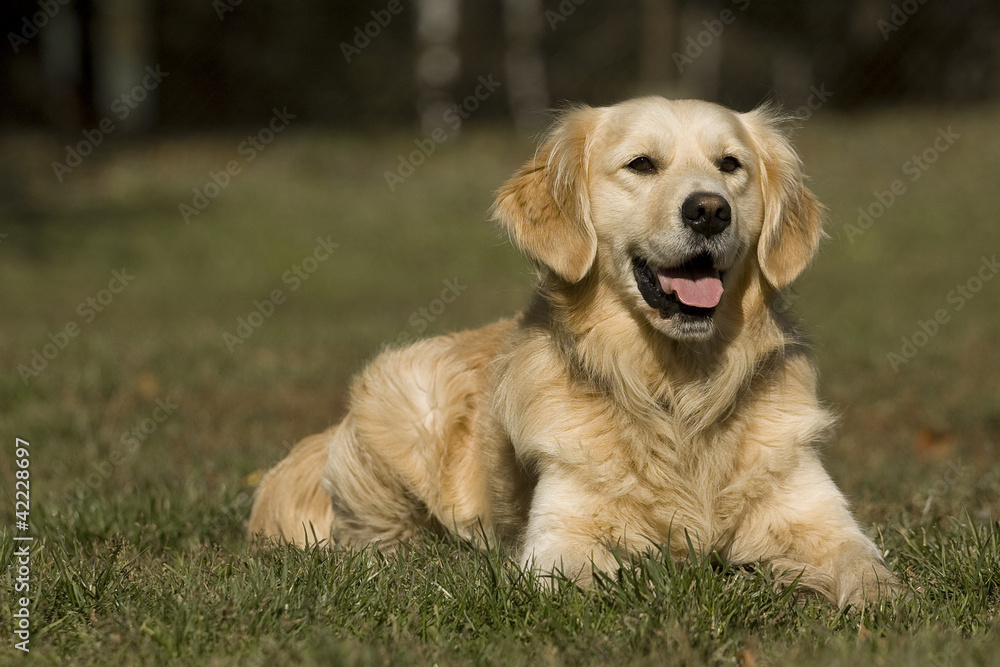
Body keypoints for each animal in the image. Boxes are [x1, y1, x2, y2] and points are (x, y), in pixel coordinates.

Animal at [248, 98, 900, 604]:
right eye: (641, 164)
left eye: (730, 165)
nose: (710, 209)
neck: (677, 389)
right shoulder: (562, 538)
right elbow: (609, 574)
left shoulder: (818, 515)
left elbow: (871, 575)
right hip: (400, 398)